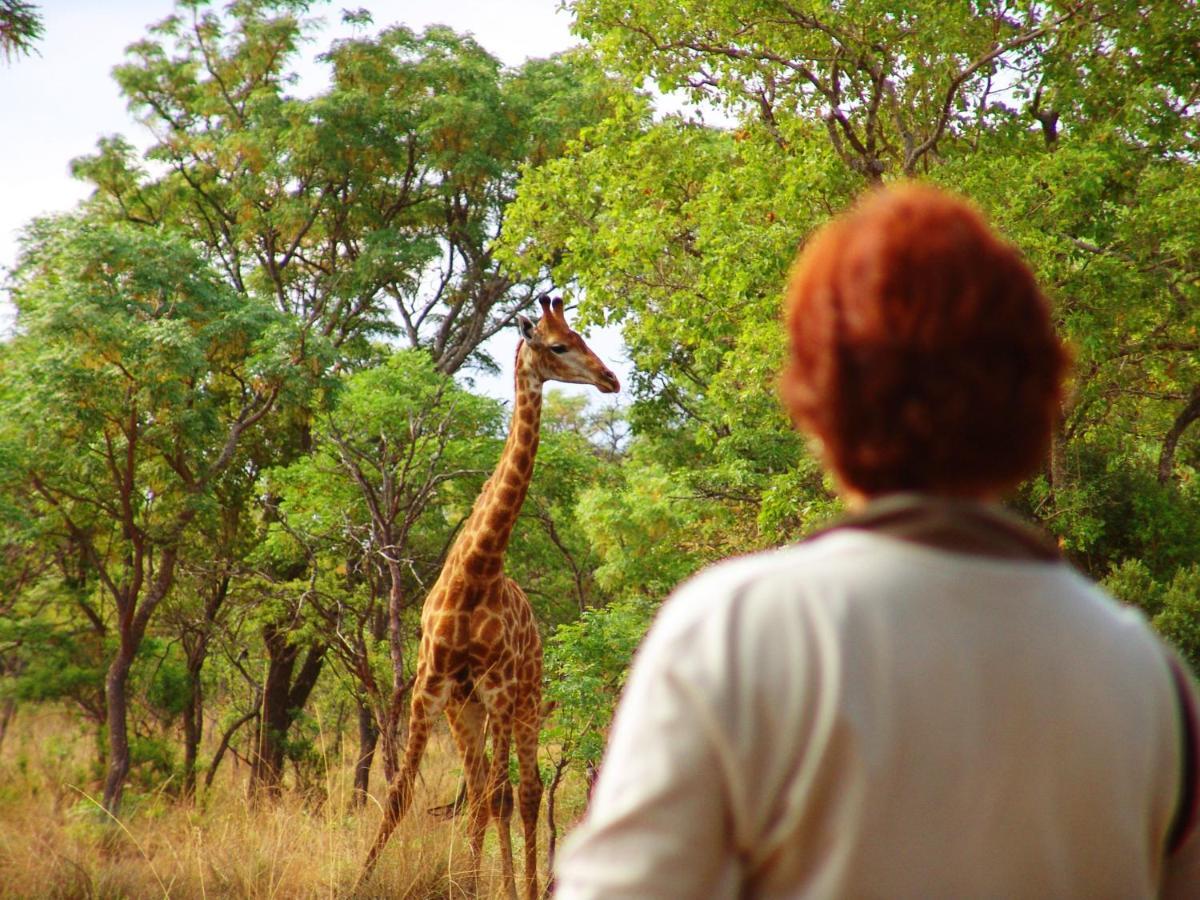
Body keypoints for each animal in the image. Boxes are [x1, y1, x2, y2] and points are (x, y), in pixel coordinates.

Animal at [357, 296, 619, 900]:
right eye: (559, 344)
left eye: (583, 336)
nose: (610, 379)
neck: (476, 573)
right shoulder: (429, 687)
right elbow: (400, 795)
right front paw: (360, 880)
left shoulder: (498, 690)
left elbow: (505, 796)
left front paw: (494, 885)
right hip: (467, 711)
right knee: (482, 794)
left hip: (522, 702)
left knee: (524, 791)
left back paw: (524, 884)